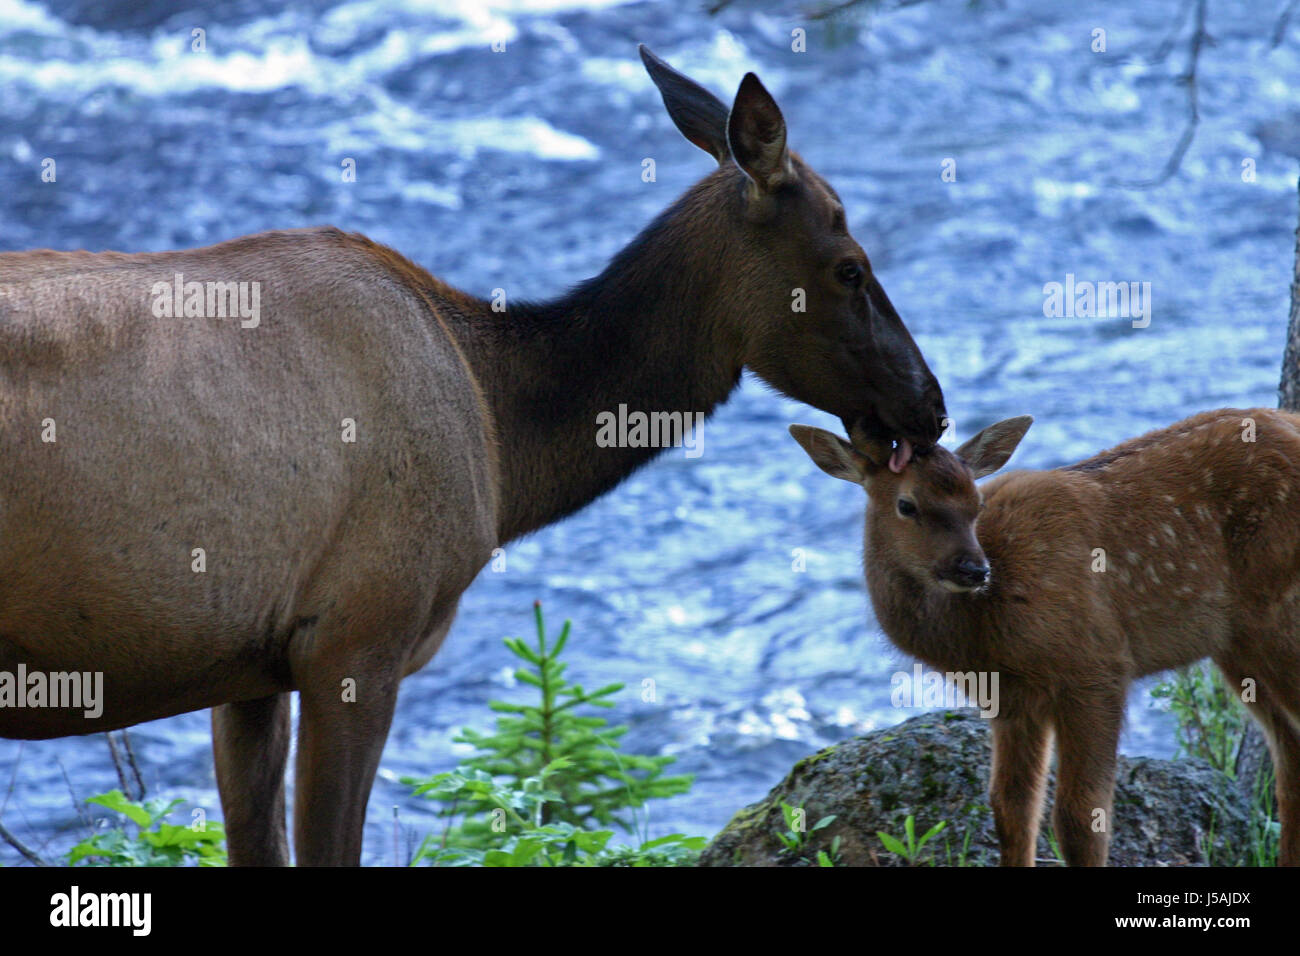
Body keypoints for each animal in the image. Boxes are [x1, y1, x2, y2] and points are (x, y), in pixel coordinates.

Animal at [785, 408, 1300, 863]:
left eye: (976, 504)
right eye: (906, 505)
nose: (974, 569)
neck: (985, 638)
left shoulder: (1097, 665)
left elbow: (1079, 818)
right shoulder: (1011, 698)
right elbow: (1009, 808)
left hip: (1273, 615)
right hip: (1236, 644)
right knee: (1288, 752)